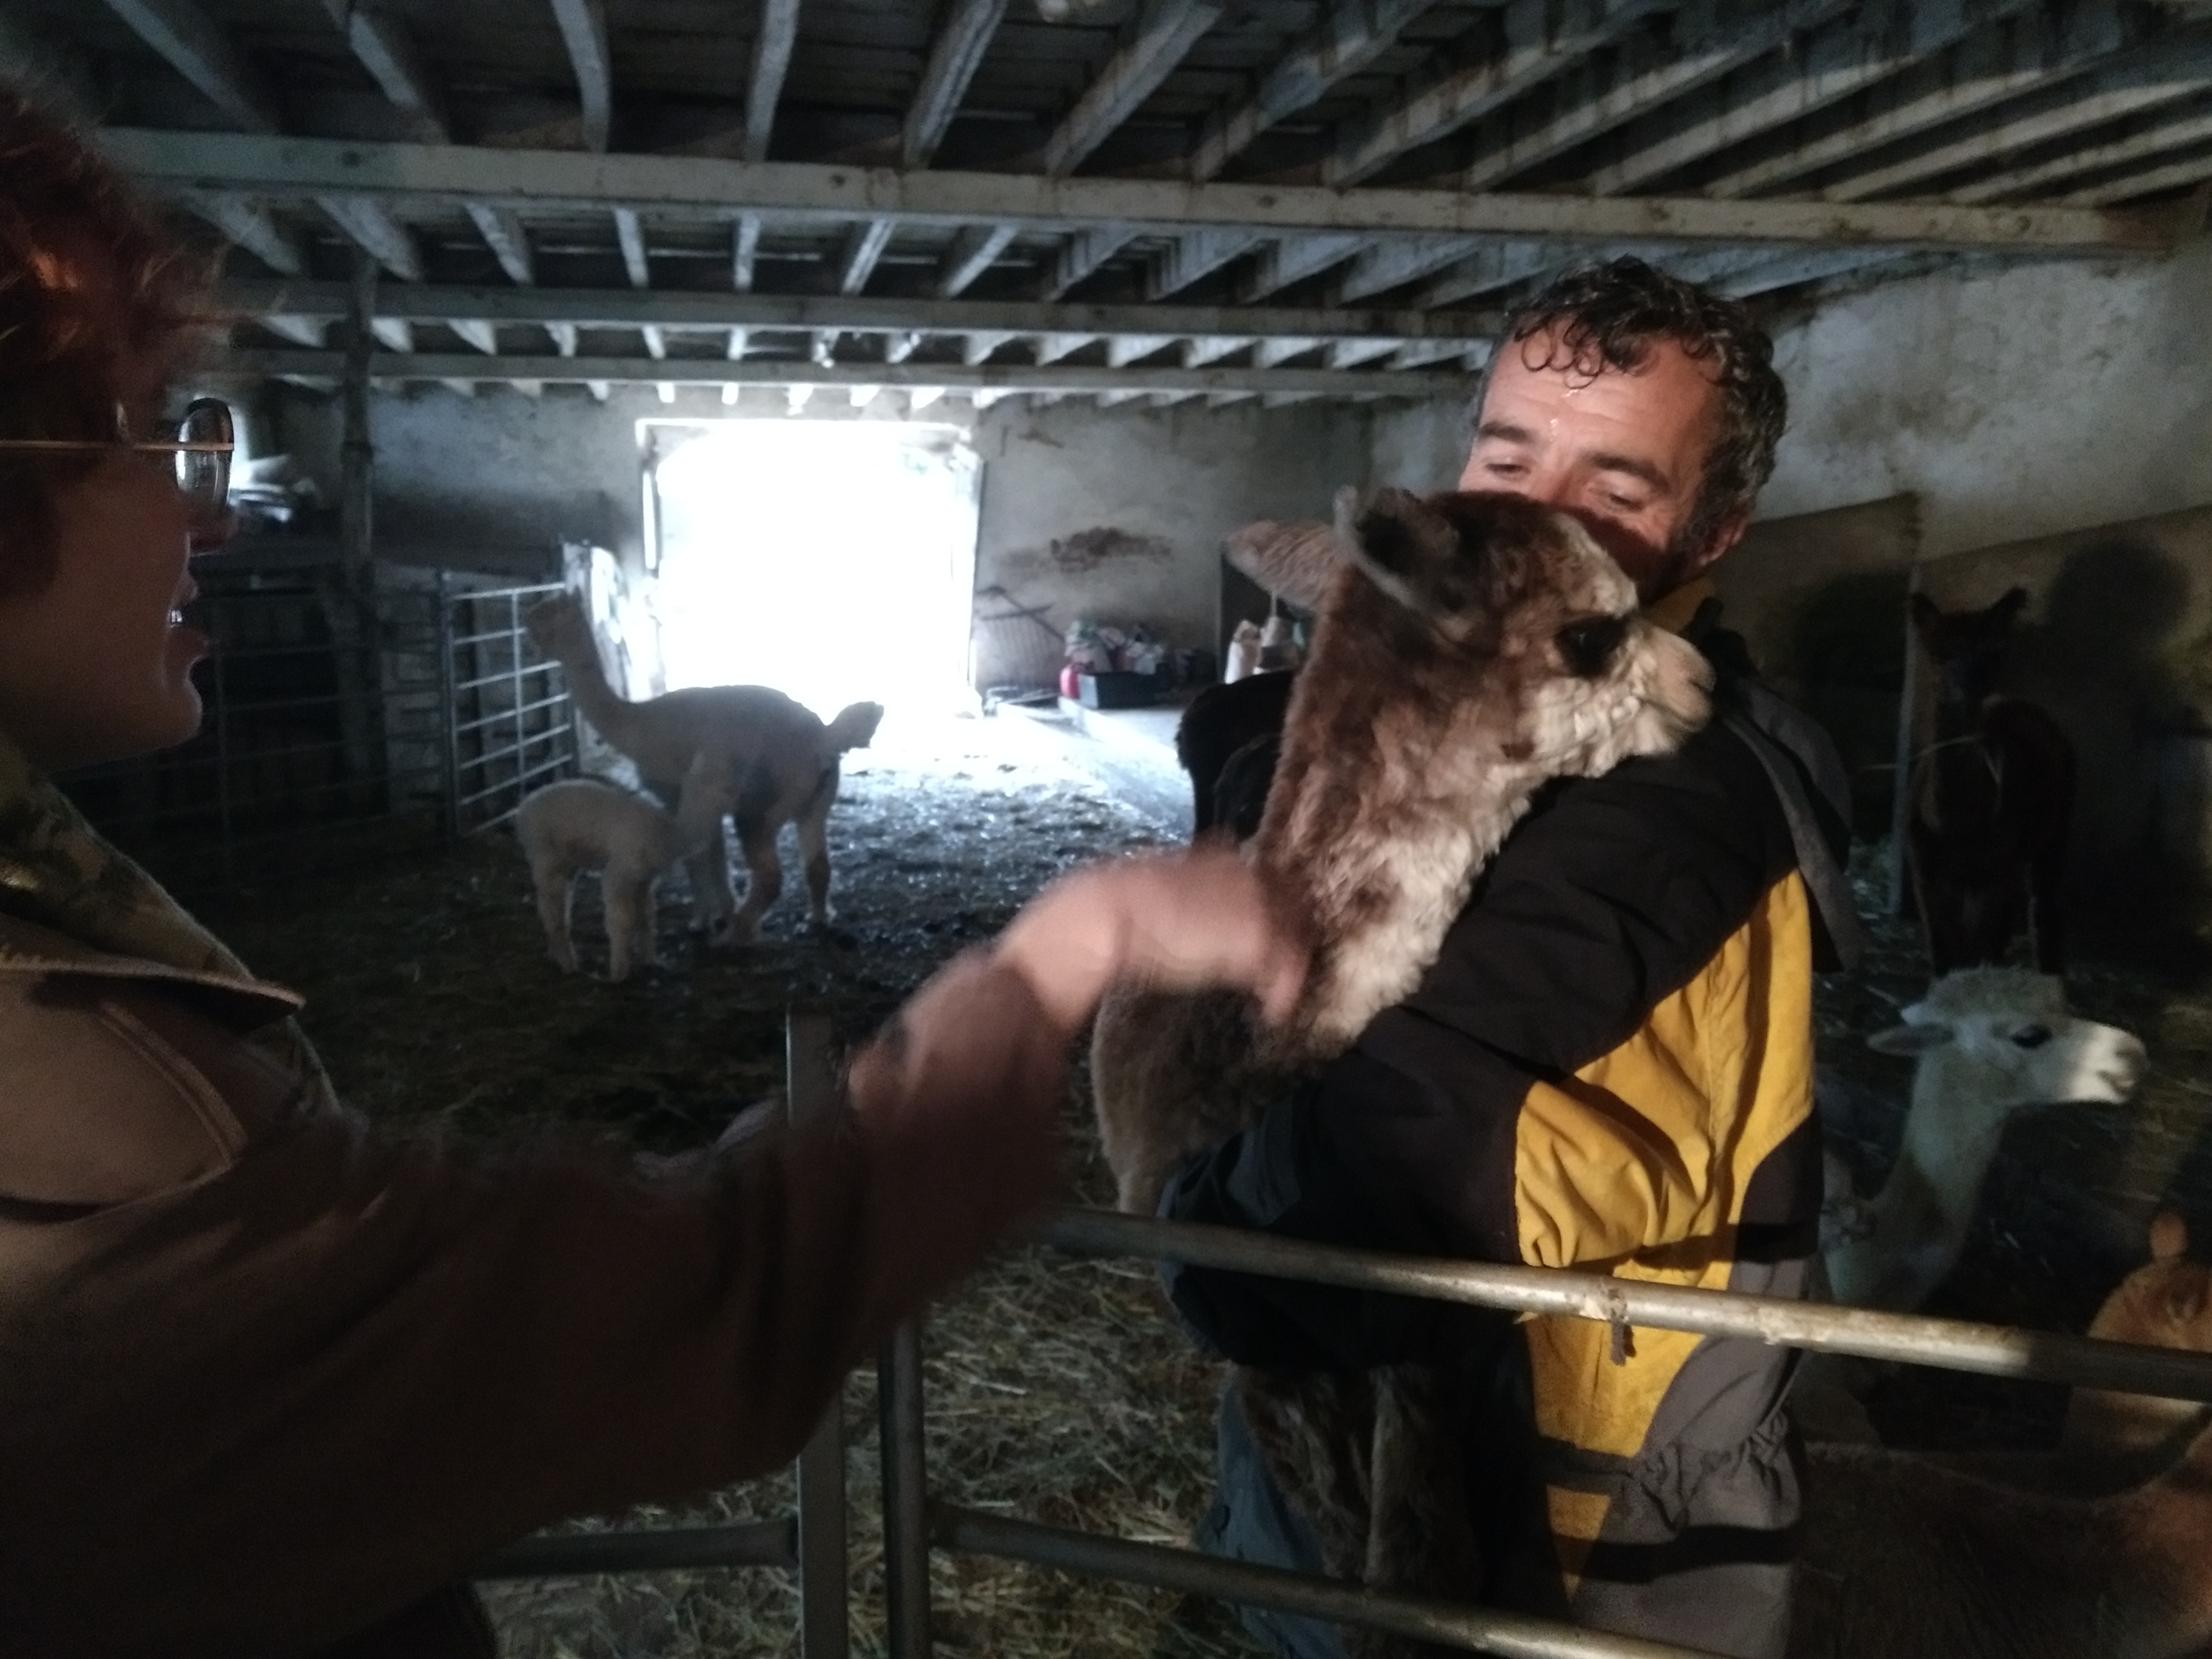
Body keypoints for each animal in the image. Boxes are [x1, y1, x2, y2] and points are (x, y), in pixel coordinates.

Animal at [515, 754, 741, 981]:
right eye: (726, 788)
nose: (740, 803)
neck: (669, 834)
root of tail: (524, 807)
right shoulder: (619, 871)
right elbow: (622, 919)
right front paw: (619, 972)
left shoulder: (645, 879)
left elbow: (646, 917)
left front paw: (651, 960)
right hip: (545, 854)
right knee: (550, 908)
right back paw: (567, 963)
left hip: (568, 861)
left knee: (557, 905)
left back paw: (557, 954)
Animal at [524, 592, 884, 942]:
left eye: (545, 614)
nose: (526, 625)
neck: (637, 725)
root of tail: (823, 737)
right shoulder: (697, 799)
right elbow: (713, 858)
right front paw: (714, 914)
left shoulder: (678, 793)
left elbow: (696, 859)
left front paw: (703, 922)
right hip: (815, 802)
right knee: (818, 866)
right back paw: (816, 919)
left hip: (762, 807)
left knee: (771, 877)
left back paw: (735, 934)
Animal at [1904, 588, 2077, 975]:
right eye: (1941, 654)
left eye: (1992, 652)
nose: (1975, 683)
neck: (1954, 826)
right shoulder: (1927, 874)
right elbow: (1944, 961)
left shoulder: (1993, 871)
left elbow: (1978, 952)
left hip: (2055, 829)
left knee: (2044, 905)